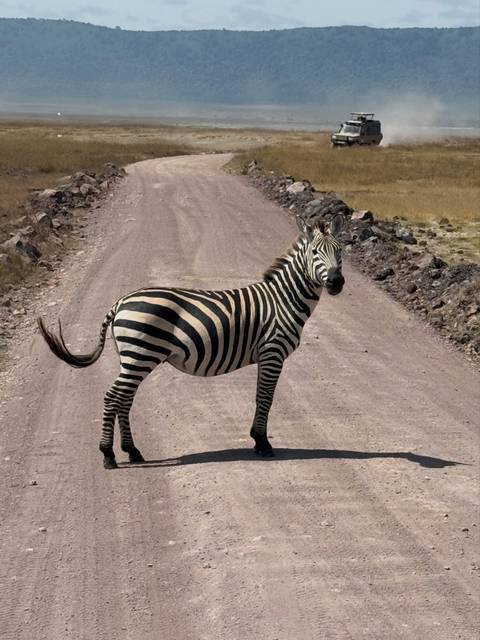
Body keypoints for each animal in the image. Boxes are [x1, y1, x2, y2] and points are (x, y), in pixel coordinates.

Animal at [37, 217, 345, 469]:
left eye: (340, 252)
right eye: (315, 253)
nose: (337, 282)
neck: (283, 300)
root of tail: (120, 302)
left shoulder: (268, 355)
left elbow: (262, 396)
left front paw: (258, 440)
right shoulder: (272, 352)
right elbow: (265, 397)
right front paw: (262, 443)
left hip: (133, 358)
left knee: (124, 399)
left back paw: (132, 451)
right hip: (139, 355)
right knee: (113, 397)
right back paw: (108, 454)